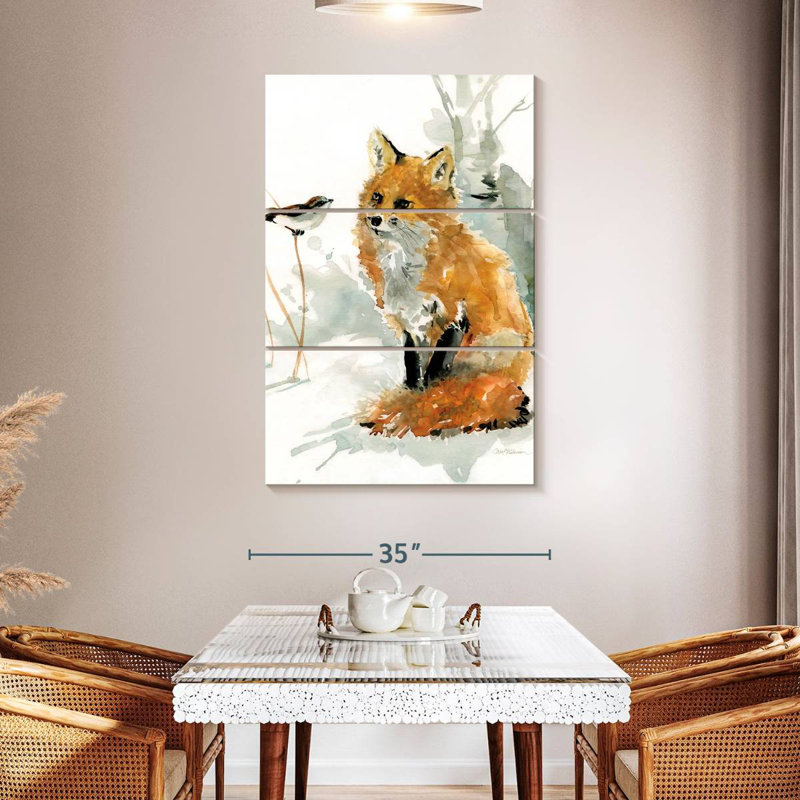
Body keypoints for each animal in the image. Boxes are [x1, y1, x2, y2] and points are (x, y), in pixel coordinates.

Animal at [355, 129, 533, 438]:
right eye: (377, 197)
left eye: (403, 204)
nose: (374, 219)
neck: (405, 268)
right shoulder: (410, 325)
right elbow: (414, 374)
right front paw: (412, 399)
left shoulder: (455, 316)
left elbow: (435, 376)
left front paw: (422, 407)